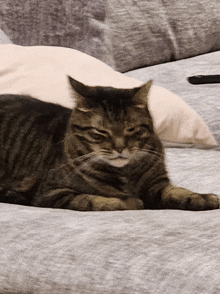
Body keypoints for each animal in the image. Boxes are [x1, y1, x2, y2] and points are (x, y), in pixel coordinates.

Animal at [0, 77, 219, 211]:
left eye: (131, 129)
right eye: (101, 132)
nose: (120, 148)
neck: (126, 174)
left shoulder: (157, 185)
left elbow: (180, 192)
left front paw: (203, 197)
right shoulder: (51, 192)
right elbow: (93, 200)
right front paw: (131, 201)